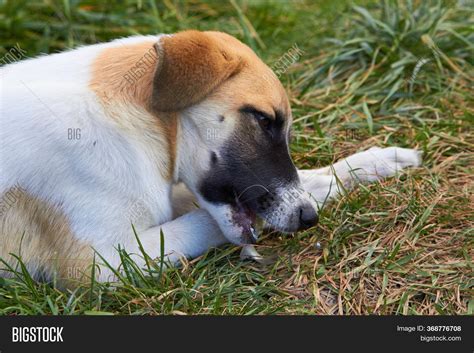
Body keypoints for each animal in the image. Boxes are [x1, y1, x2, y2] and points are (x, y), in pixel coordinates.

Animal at [0, 29, 422, 284]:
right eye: (263, 120)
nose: (307, 220)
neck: (135, 122)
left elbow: (309, 179)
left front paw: (372, 163)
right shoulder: (100, 262)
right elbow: (203, 224)